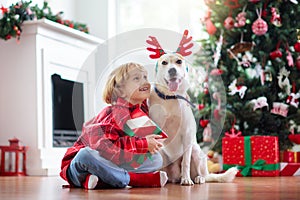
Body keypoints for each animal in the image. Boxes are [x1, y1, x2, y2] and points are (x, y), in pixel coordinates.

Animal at [146, 30, 238, 185]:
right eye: (164, 62)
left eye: (179, 61)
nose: (172, 70)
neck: (171, 97)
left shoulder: (187, 136)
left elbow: (186, 162)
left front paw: (186, 179)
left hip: (196, 151)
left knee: (203, 174)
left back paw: (197, 178)